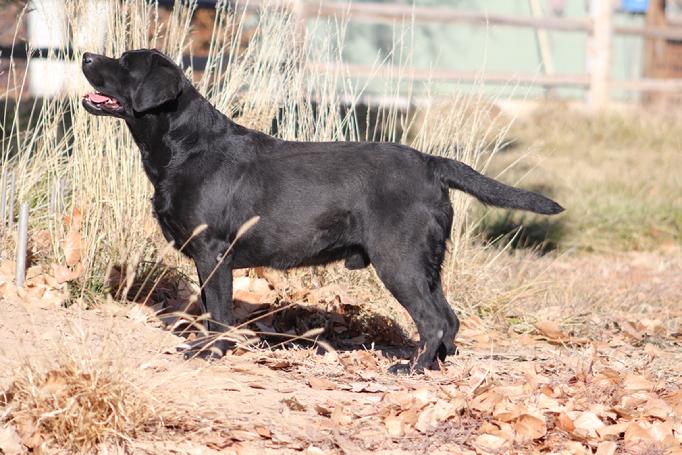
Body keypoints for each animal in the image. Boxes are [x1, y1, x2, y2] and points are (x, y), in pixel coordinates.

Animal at [81, 49, 564, 374]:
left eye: (126, 63)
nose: (85, 55)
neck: (187, 146)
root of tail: (430, 163)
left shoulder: (213, 252)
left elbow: (217, 312)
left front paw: (209, 352)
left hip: (398, 260)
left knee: (432, 320)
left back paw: (410, 368)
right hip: (426, 265)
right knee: (449, 319)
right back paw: (432, 366)